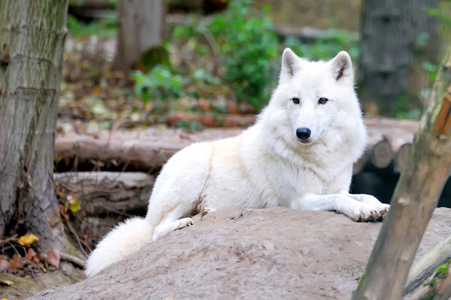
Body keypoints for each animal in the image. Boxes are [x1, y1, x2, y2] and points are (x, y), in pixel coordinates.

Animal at [86, 48, 390, 276]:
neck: (319, 156)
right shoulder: (298, 202)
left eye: (322, 100)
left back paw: (207, 213)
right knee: (156, 231)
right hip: (193, 172)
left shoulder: (337, 186)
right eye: (296, 100)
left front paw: (380, 206)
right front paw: (361, 211)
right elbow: (340, 200)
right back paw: (183, 224)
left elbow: (362, 194)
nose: (302, 132)